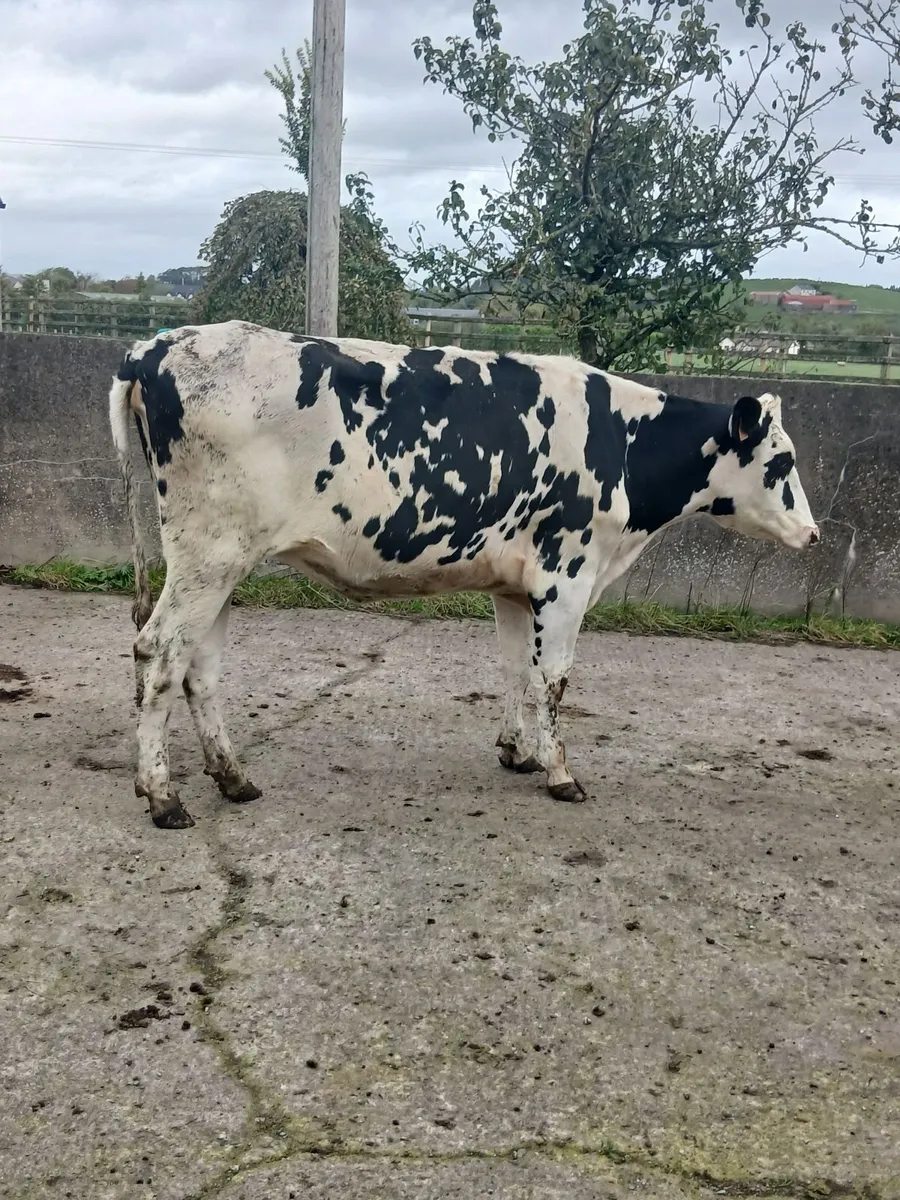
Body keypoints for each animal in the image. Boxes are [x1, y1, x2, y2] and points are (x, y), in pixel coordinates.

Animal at [109, 319, 819, 830]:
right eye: (781, 461)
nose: (814, 534)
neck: (623, 441)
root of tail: (156, 345)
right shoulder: (567, 577)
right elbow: (554, 681)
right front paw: (562, 774)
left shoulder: (517, 585)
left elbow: (518, 671)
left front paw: (518, 752)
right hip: (209, 553)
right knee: (159, 651)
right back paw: (163, 797)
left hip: (221, 562)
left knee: (199, 668)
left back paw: (233, 778)